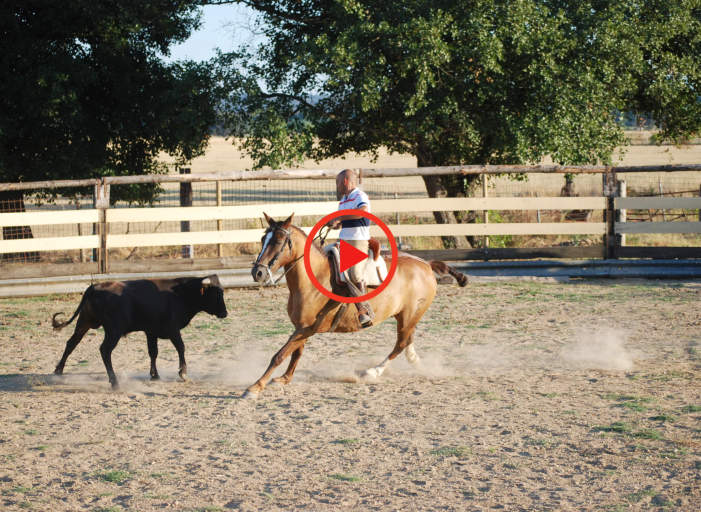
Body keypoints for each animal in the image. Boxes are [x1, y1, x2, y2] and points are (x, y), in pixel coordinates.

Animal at [243, 212, 468, 396]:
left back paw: (373, 371)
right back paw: (414, 362)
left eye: (279, 240)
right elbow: (296, 353)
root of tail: (427, 265)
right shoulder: (302, 328)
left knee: (401, 343)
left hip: (410, 315)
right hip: (405, 316)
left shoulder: (306, 328)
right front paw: (284, 378)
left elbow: (280, 355)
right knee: (407, 341)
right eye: (263, 239)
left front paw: (255, 386)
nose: (258, 272)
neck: (314, 279)